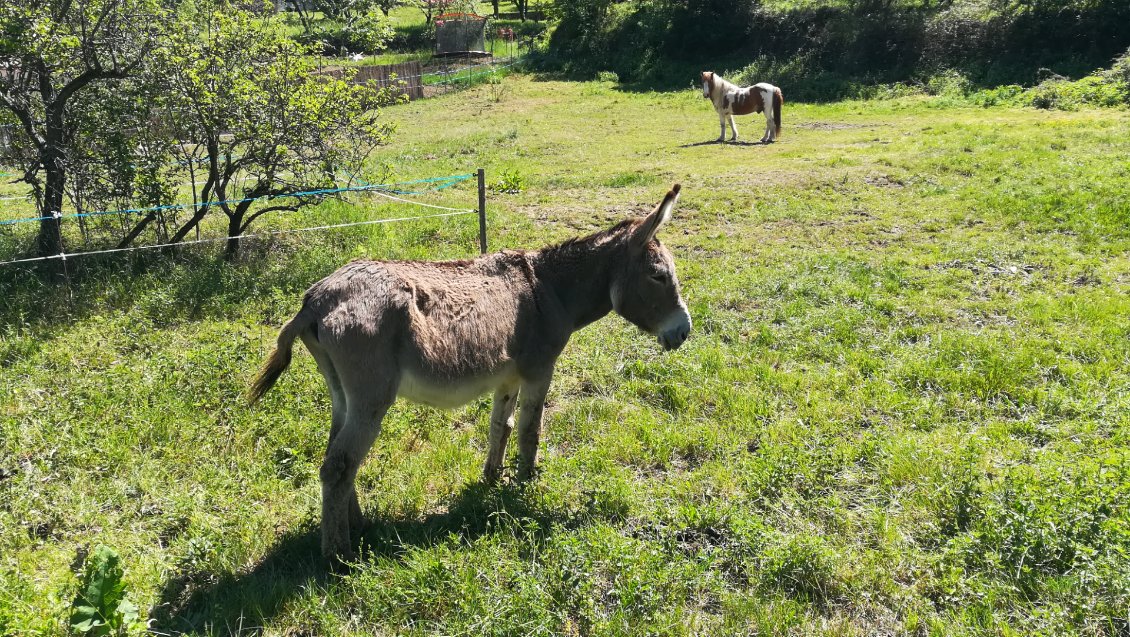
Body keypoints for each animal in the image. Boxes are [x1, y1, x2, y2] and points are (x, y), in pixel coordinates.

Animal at [247, 185, 687, 562]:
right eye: (659, 276)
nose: (685, 332)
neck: (549, 290)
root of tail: (316, 299)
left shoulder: (508, 376)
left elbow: (500, 426)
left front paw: (492, 479)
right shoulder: (539, 371)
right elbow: (530, 430)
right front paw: (526, 485)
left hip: (343, 394)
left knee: (338, 457)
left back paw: (357, 525)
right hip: (372, 396)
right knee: (339, 464)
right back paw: (338, 554)